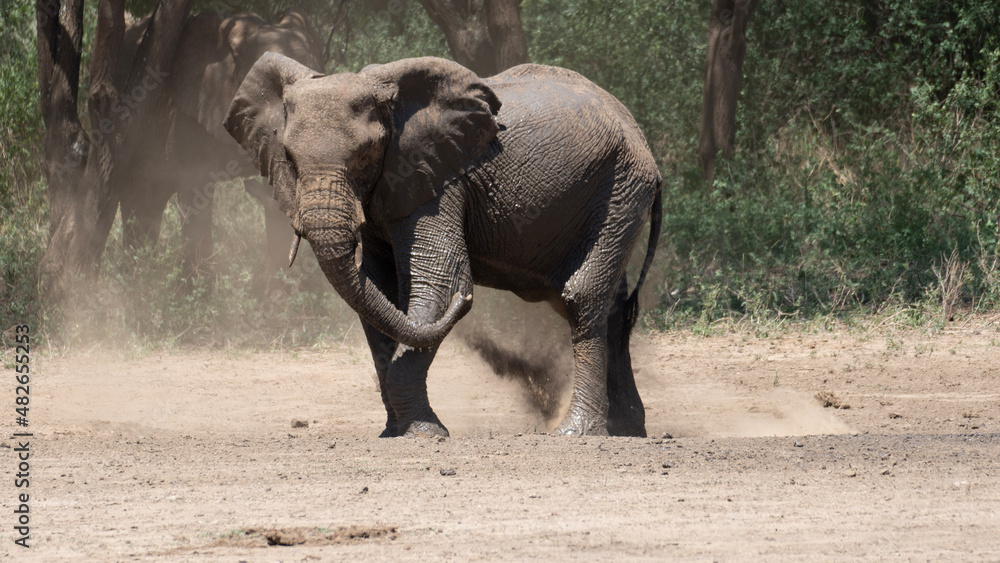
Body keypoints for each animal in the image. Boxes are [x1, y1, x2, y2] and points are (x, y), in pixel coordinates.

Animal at [224, 53, 663, 437]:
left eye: (366, 154)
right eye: (289, 158)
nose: (466, 302)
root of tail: (638, 132)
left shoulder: (436, 182)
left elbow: (440, 282)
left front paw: (425, 433)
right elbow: (379, 293)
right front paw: (395, 431)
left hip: (622, 188)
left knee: (582, 296)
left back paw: (577, 433)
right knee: (613, 308)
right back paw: (627, 430)